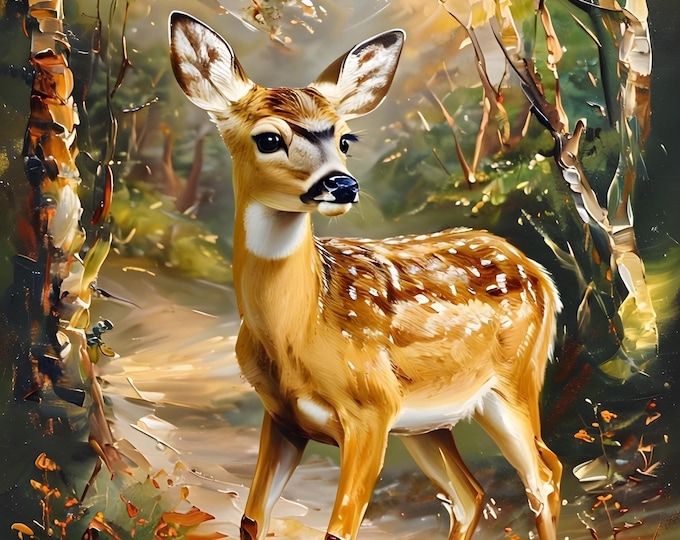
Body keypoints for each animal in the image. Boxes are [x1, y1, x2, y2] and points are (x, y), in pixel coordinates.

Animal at [169, 12, 562, 540]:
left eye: (344, 139)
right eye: (268, 138)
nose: (342, 184)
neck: (296, 334)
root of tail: (541, 273)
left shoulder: (371, 410)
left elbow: (339, 530)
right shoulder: (284, 417)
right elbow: (251, 520)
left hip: (513, 381)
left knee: (543, 473)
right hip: (428, 421)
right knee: (471, 494)